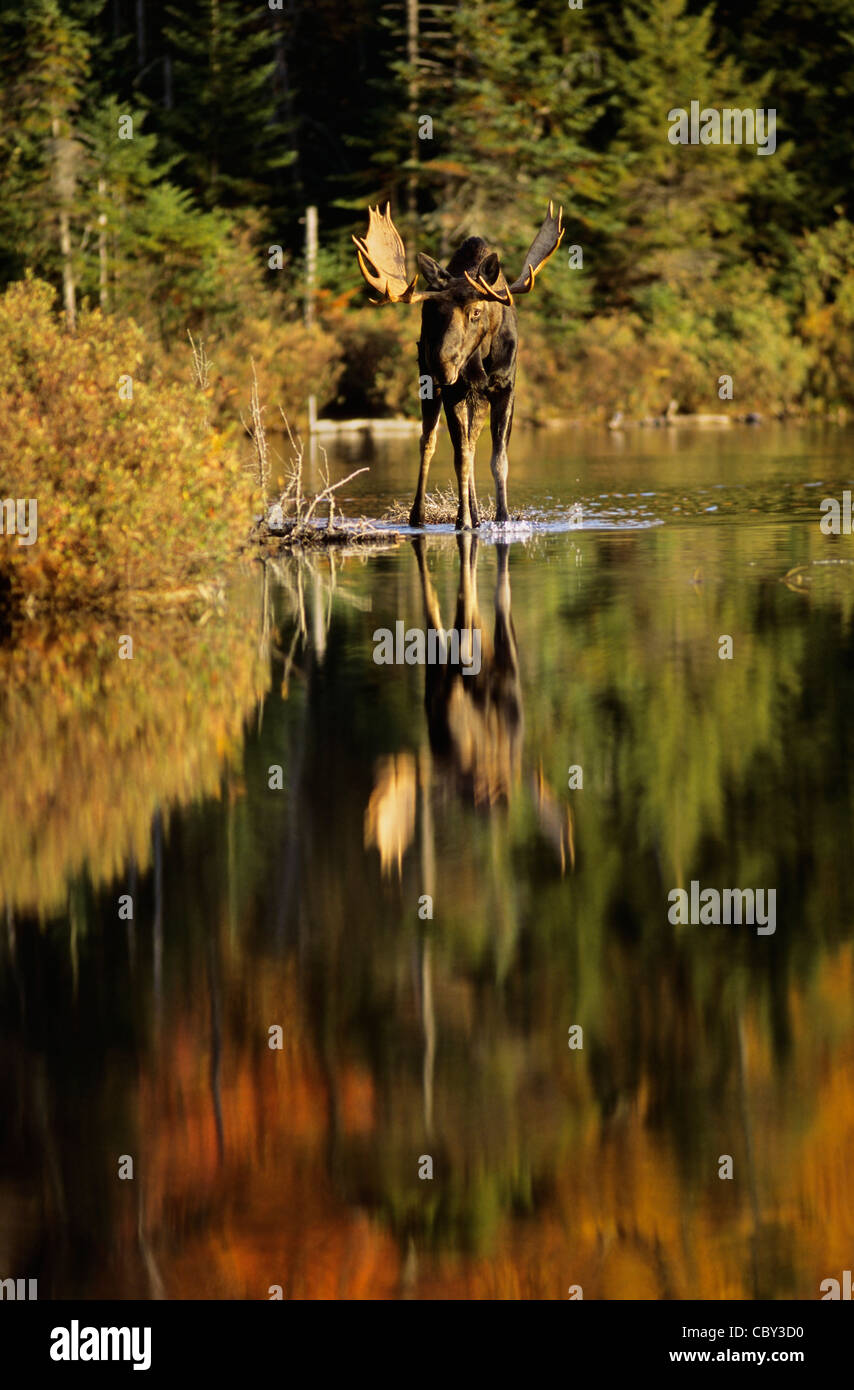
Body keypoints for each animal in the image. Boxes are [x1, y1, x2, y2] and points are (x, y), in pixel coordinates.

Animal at [351, 202, 564, 528]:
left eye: (476, 311)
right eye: (435, 310)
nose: (443, 364)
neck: (482, 359)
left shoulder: (505, 388)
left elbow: (498, 458)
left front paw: (502, 518)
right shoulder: (455, 391)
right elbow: (459, 457)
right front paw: (462, 521)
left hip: (476, 397)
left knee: (472, 443)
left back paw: (475, 514)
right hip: (431, 385)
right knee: (428, 441)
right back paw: (420, 515)